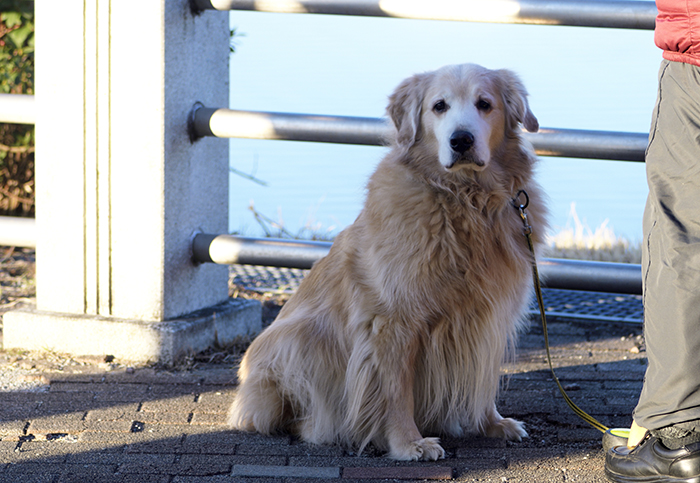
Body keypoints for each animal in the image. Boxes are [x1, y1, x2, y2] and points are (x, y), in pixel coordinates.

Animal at [227, 64, 548, 462]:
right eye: (439, 106)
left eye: (484, 104)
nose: (461, 140)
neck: (464, 199)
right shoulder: (394, 320)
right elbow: (396, 392)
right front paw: (408, 443)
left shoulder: (489, 314)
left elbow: (484, 376)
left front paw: (491, 422)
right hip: (300, 338)